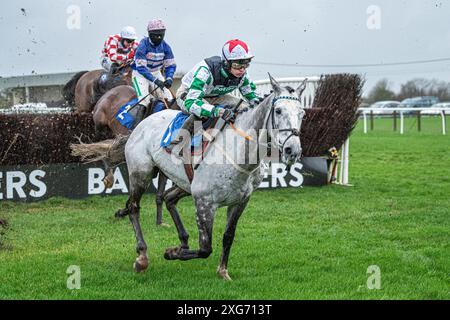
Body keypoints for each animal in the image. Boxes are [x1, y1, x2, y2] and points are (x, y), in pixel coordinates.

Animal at [92, 84, 179, 226]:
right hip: (101, 125)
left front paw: (159, 222)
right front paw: (123, 211)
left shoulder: (163, 169)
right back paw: (108, 177)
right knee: (101, 147)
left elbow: (159, 195)